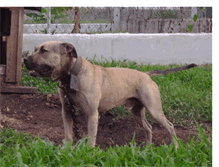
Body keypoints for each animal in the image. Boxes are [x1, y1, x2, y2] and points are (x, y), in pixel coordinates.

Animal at [23, 41, 198, 149]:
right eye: (36, 49)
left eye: (43, 50)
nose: (24, 59)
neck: (72, 73)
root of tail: (146, 74)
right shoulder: (66, 111)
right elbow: (68, 134)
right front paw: (65, 150)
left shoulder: (92, 115)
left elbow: (91, 137)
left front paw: (89, 153)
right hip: (137, 112)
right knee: (148, 128)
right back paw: (148, 147)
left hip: (155, 110)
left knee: (170, 126)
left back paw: (175, 147)